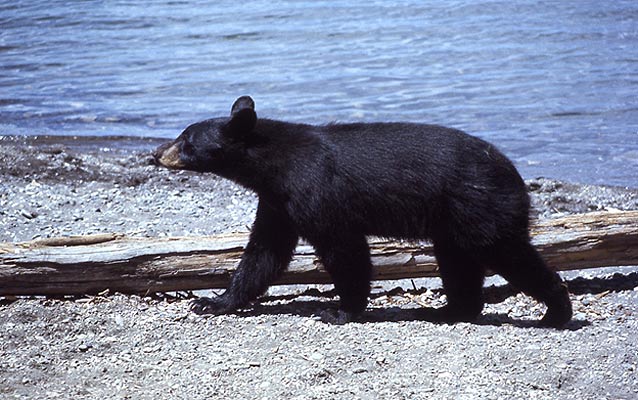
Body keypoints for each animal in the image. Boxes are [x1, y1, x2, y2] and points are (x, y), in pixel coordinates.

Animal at [155, 95, 576, 326]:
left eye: (186, 139)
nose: (156, 153)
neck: (275, 167)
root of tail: (515, 173)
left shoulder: (316, 190)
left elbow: (345, 249)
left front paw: (341, 311)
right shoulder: (277, 202)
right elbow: (264, 252)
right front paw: (212, 301)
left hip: (480, 206)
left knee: (508, 252)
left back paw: (556, 311)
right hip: (453, 221)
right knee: (459, 262)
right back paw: (447, 311)